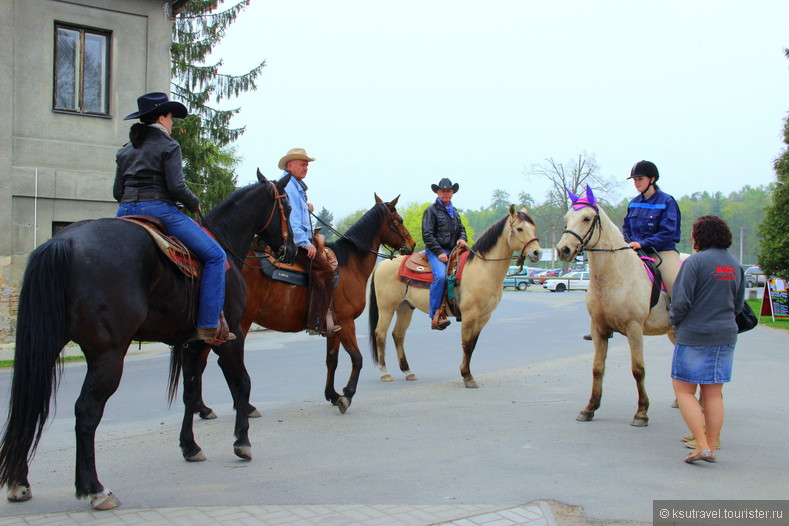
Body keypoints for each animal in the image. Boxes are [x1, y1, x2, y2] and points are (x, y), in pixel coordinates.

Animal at [0, 172, 296, 512]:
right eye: (287, 207)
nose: (291, 250)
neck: (224, 241)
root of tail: (64, 240)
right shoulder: (230, 336)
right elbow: (242, 385)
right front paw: (242, 442)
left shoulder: (193, 343)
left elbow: (190, 393)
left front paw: (190, 447)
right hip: (108, 354)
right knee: (86, 411)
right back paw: (95, 489)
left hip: (47, 346)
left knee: (30, 403)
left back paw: (19, 482)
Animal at [188, 194, 416, 420]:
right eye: (399, 220)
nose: (412, 244)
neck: (350, 264)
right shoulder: (346, 322)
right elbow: (357, 359)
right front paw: (346, 396)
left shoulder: (334, 327)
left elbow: (331, 360)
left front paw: (332, 394)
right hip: (239, 322)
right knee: (223, 362)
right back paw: (244, 406)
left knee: (199, 362)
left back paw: (203, 408)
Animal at [370, 206, 540, 388]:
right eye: (520, 229)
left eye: (533, 227)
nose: (537, 252)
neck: (482, 268)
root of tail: (382, 264)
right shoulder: (469, 313)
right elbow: (466, 344)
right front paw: (467, 376)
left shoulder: (484, 316)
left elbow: (473, 344)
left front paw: (467, 374)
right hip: (386, 308)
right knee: (380, 333)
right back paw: (385, 373)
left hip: (405, 307)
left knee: (398, 335)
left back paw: (408, 371)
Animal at [552, 186, 676, 428]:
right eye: (567, 218)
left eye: (587, 218)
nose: (563, 250)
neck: (614, 276)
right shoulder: (599, 329)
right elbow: (597, 368)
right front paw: (589, 408)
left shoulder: (634, 329)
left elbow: (638, 369)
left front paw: (641, 412)